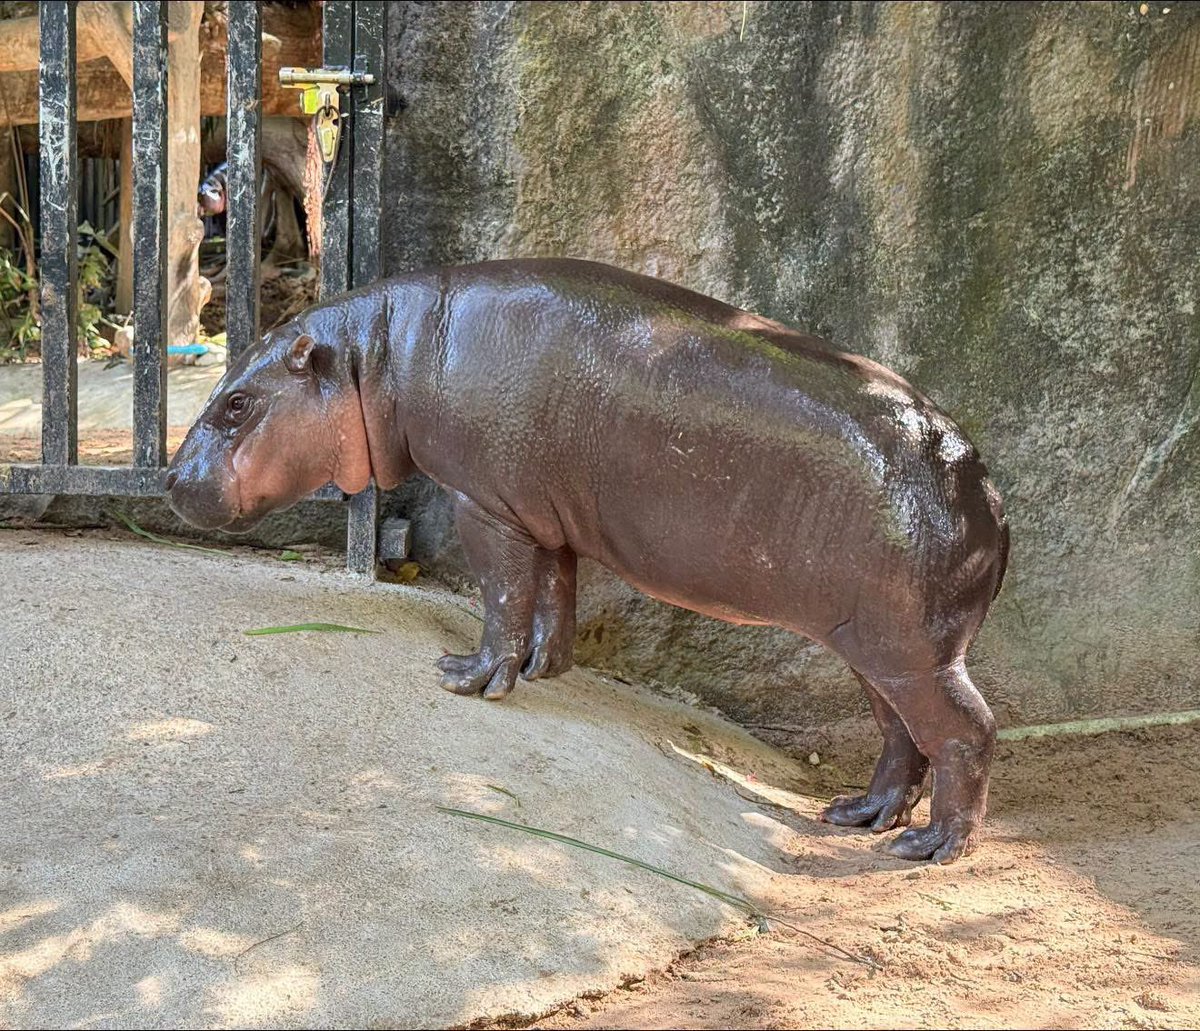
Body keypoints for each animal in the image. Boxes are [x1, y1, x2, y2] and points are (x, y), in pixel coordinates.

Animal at [167, 258, 1009, 864]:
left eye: (235, 404)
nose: (170, 480)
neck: (378, 353)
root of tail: (985, 490)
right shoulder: (544, 515)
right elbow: (554, 591)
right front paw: (545, 668)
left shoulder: (485, 504)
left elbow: (505, 592)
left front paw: (468, 678)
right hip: (873, 646)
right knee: (901, 734)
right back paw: (860, 815)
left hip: (912, 653)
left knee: (967, 731)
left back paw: (932, 847)